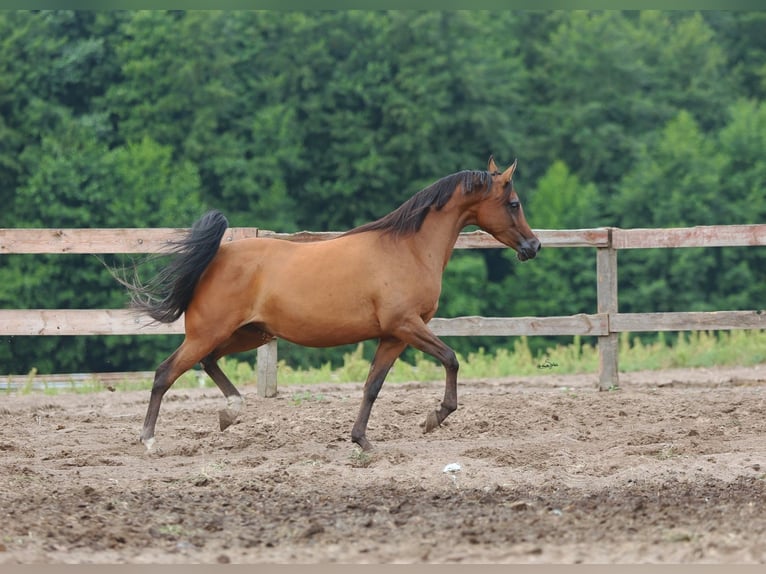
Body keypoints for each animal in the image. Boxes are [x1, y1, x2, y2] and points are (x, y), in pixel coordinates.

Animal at [127, 155, 540, 452]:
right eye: (514, 203)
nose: (534, 246)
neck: (408, 248)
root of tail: (218, 257)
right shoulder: (407, 325)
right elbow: (451, 359)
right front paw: (433, 418)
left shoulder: (393, 336)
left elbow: (372, 386)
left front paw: (362, 440)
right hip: (209, 333)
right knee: (165, 373)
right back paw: (149, 440)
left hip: (249, 334)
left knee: (208, 362)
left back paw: (230, 412)